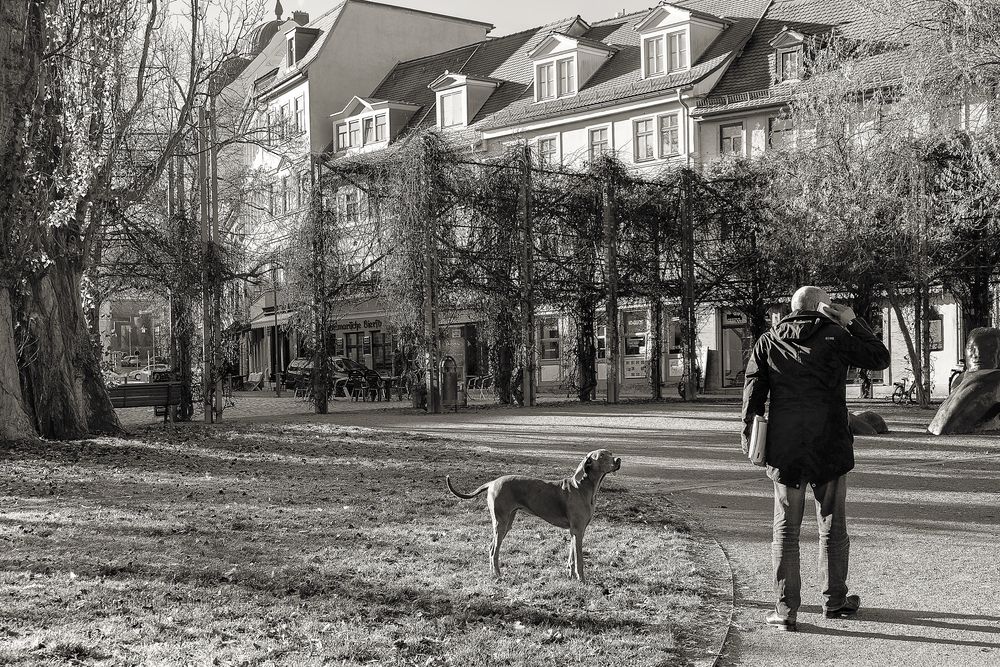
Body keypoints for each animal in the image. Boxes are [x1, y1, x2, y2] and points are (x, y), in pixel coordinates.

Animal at [446, 448, 616, 584]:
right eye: (602, 456)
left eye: (611, 453)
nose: (618, 459)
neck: (582, 487)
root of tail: (492, 482)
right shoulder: (578, 530)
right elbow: (579, 559)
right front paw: (582, 580)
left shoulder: (576, 531)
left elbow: (571, 557)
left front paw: (571, 576)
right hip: (501, 523)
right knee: (494, 549)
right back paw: (497, 575)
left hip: (507, 523)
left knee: (491, 547)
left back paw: (492, 574)